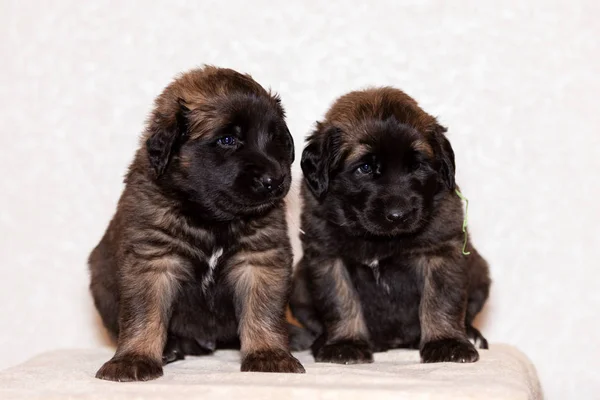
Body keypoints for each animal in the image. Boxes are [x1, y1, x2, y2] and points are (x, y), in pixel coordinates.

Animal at [88, 65, 304, 382]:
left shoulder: (259, 259)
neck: (211, 219)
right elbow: (143, 315)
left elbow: (263, 312)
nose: (275, 180)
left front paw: (269, 354)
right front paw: (133, 359)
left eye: (275, 137)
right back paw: (170, 348)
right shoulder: (153, 260)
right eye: (227, 140)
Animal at [290, 88, 492, 366]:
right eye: (365, 167)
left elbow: (440, 301)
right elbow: (340, 301)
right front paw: (345, 344)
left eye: (417, 165)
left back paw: (471, 334)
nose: (398, 215)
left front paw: (447, 344)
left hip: (480, 270)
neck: (379, 239)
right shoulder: (328, 257)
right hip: (299, 284)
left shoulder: (441, 251)